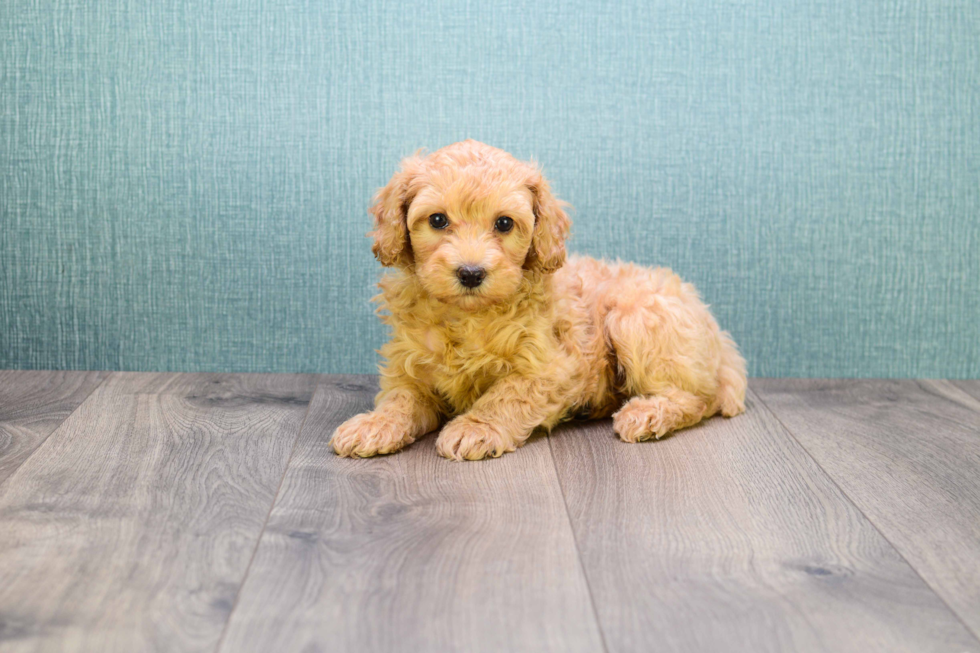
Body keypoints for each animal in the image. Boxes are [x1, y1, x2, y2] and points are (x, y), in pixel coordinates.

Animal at [334, 141, 748, 460]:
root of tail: (716, 332)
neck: (468, 316)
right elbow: (400, 398)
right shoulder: (409, 365)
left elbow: (508, 393)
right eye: (437, 220)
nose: (470, 273)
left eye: (504, 223)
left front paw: (475, 427)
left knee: (698, 397)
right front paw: (374, 425)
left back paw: (647, 414)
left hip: (636, 319)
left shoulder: (553, 367)